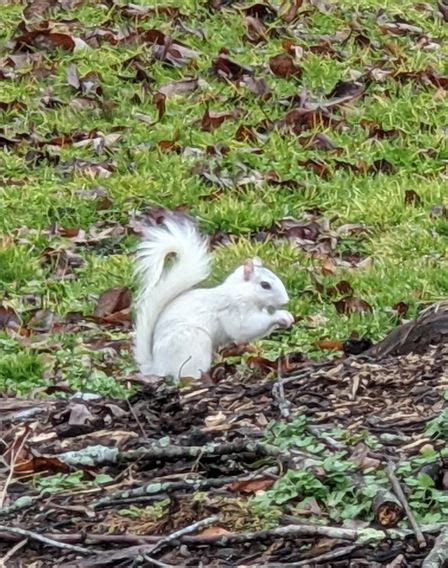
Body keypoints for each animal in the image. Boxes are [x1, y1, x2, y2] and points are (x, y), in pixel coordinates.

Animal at [133, 215, 294, 380]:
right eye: (265, 285)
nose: (286, 301)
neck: (242, 291)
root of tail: (157, 367)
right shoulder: (234, 310)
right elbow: (244, 329)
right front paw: (281, 315)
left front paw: (286, 320)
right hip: (195, 344)